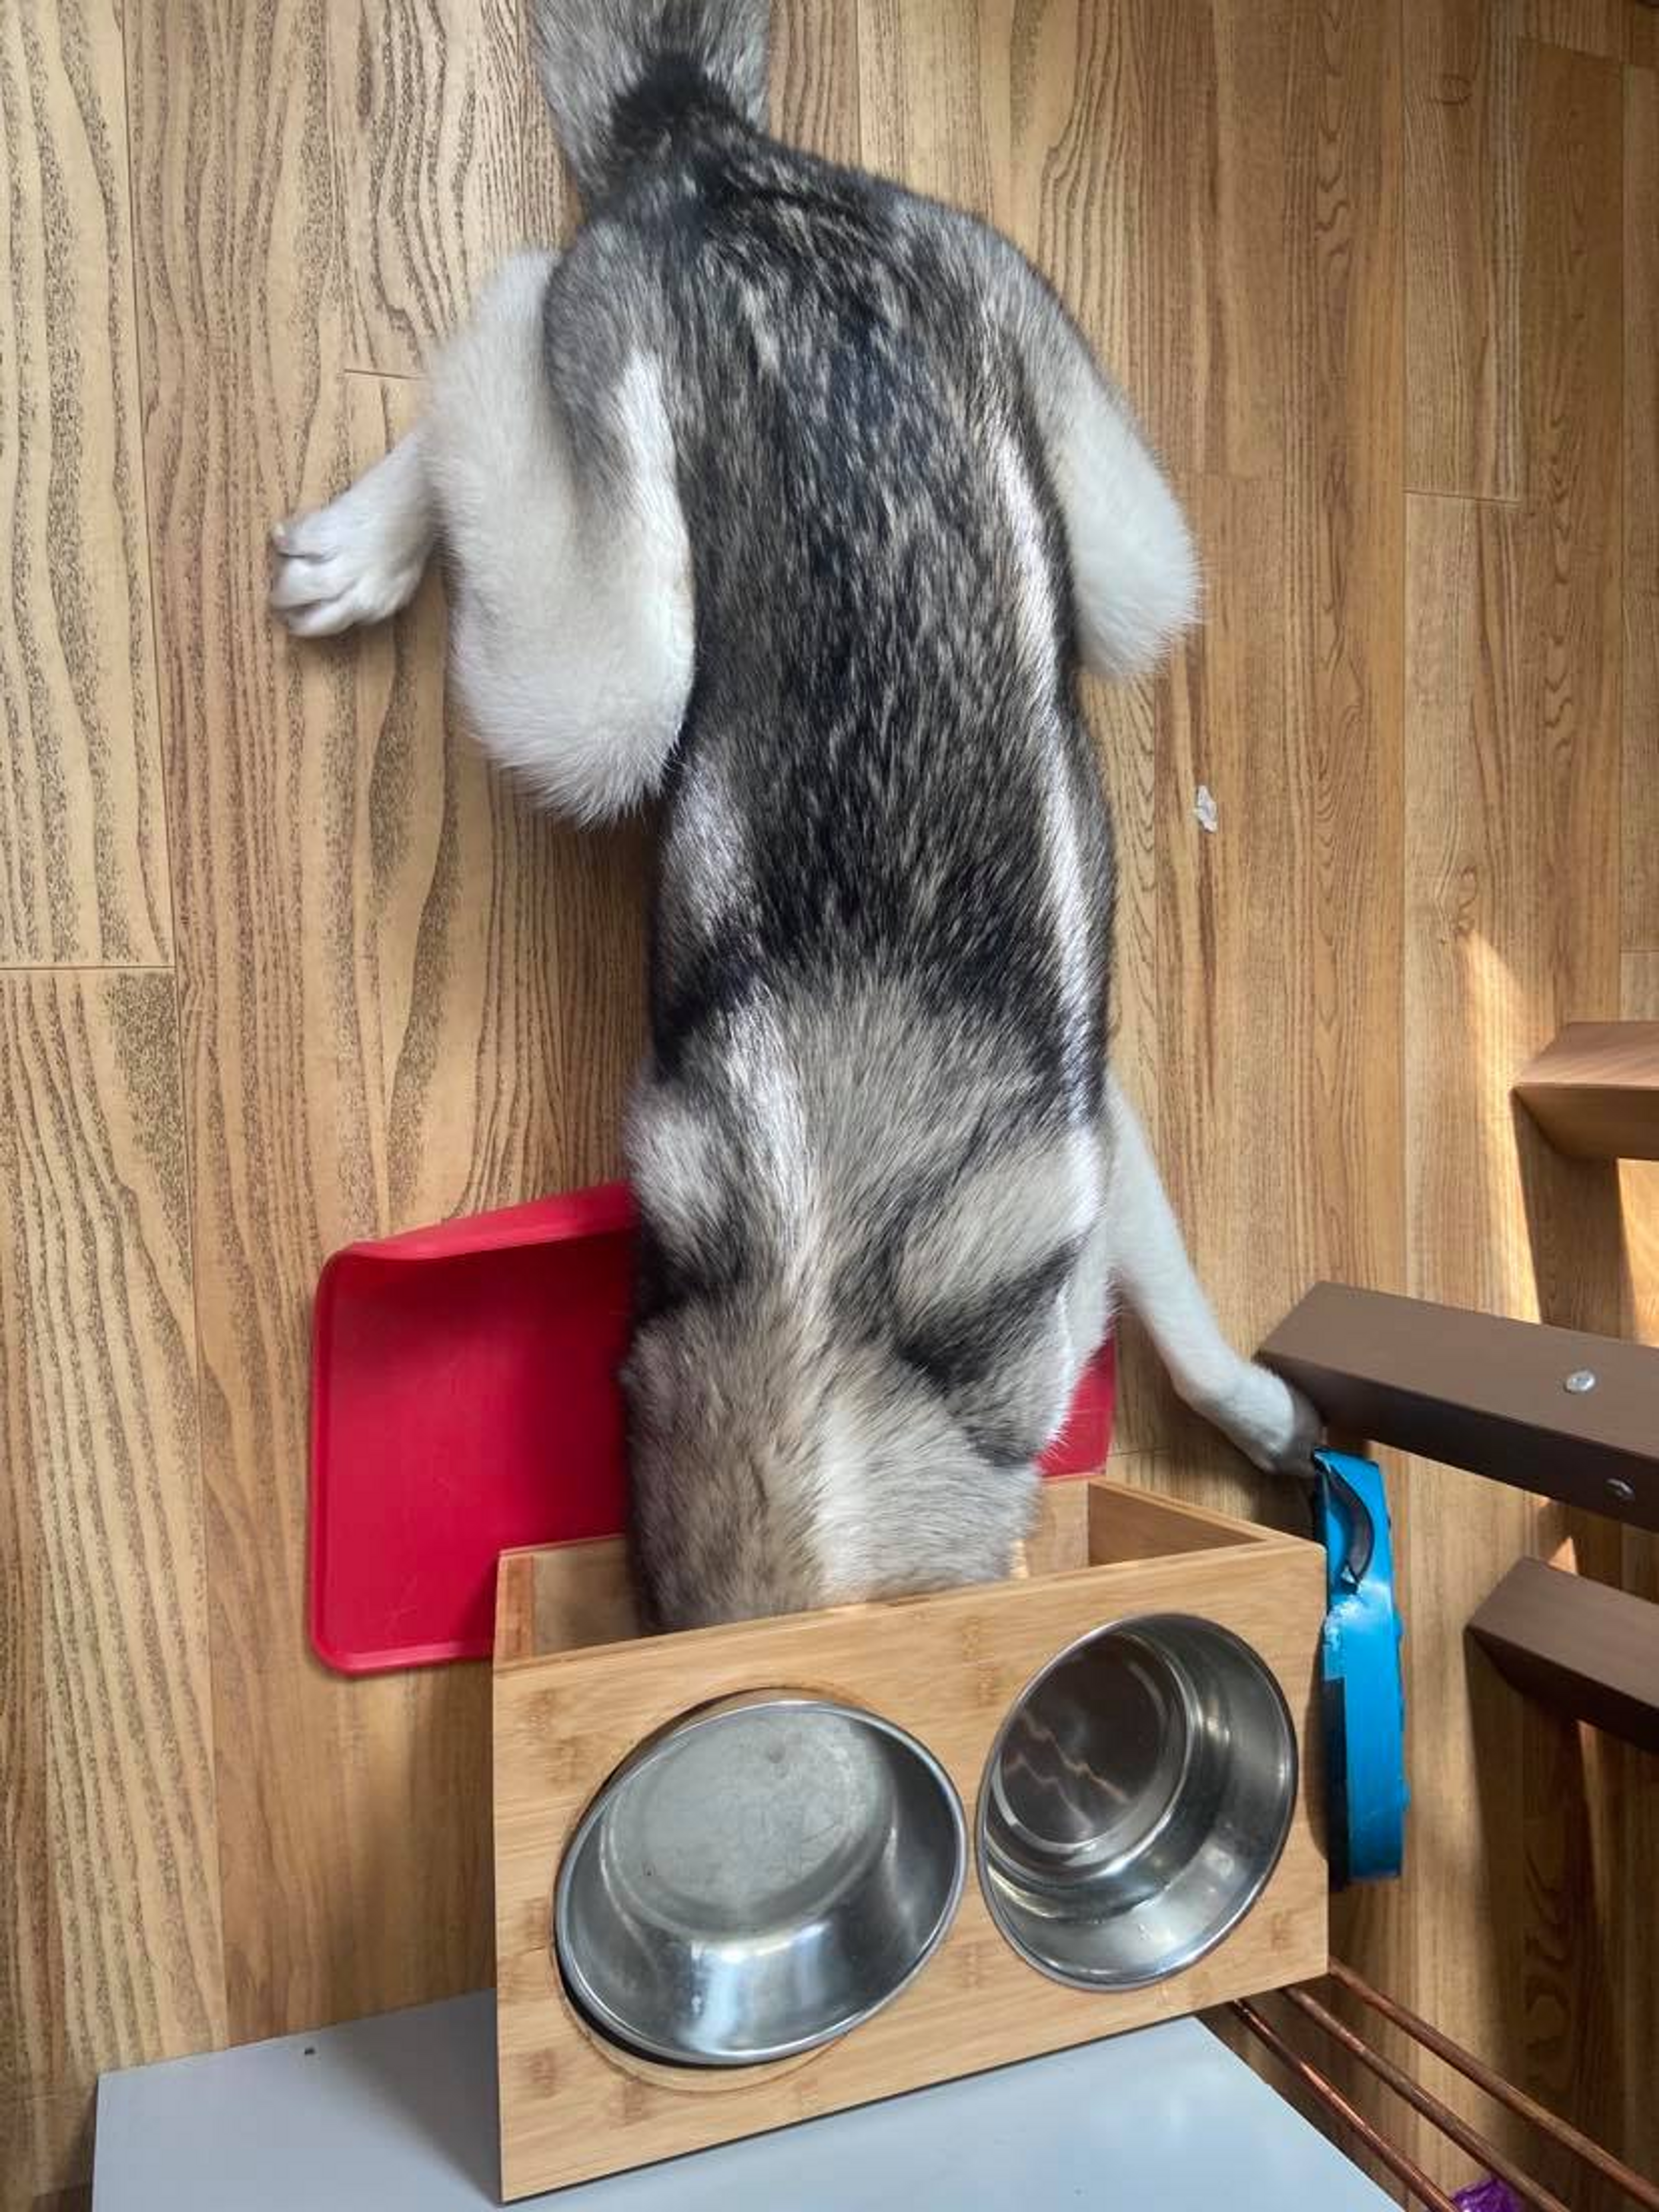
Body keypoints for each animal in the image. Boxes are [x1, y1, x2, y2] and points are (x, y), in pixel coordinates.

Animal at [273, 0, 1318, 1628]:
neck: (836, 1316)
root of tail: (724, 159)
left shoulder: (1089, 1135)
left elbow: (1176, 1295)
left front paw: (1256, 1410)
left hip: (1126, 558)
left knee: (506, 326)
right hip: (613, 679)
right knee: (502, 337)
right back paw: (368, 540)